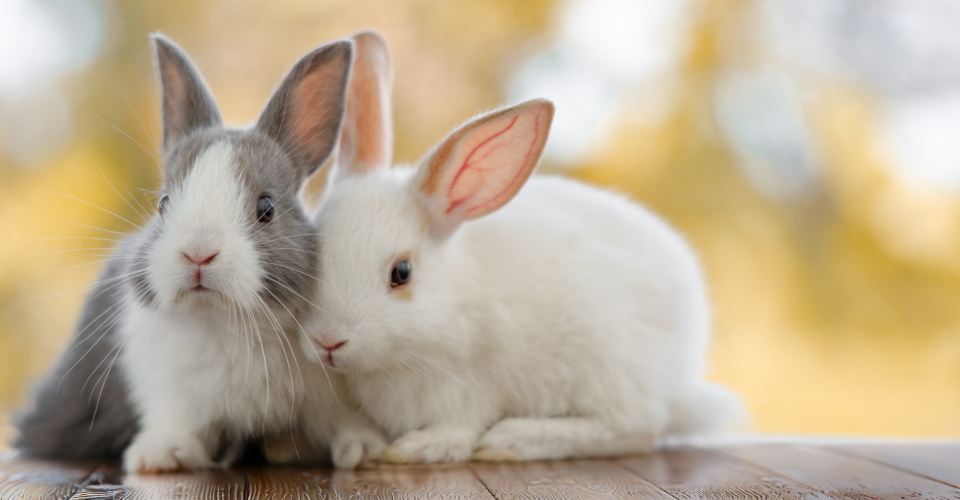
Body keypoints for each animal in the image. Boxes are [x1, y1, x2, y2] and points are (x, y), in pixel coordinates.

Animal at [15, 34, 387, 473]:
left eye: (266, 208)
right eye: (163, 203)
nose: (198, 254)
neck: (226, 321)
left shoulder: (326, 391)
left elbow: (338, 419)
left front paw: (364, 447)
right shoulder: (169, 390)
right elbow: (176, 420)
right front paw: (159, 456)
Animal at [297, 32, 743, 464]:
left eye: (401, 273)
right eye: (313, 251)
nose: (328, 342)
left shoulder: (466, 389)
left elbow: (457, 430)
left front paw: (415, 450)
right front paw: (361, 450)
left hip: (607, 363)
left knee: (636, 427)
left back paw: (513, 440)